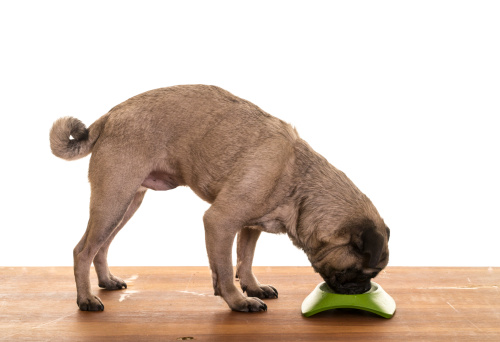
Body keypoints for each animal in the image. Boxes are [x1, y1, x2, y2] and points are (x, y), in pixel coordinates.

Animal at [50, 84, 388, 312]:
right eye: (360, 271)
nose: (363, 288)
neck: (299, 181)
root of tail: (108, 117)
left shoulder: (249, 227)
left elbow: (244, 259)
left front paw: (252, 287)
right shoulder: (220, 222)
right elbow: (225, 269)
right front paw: (238, 301)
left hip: (126, 204)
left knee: (102, 246)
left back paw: (106, 282)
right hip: (113, 200)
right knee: (83, 250)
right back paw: (86, 299)